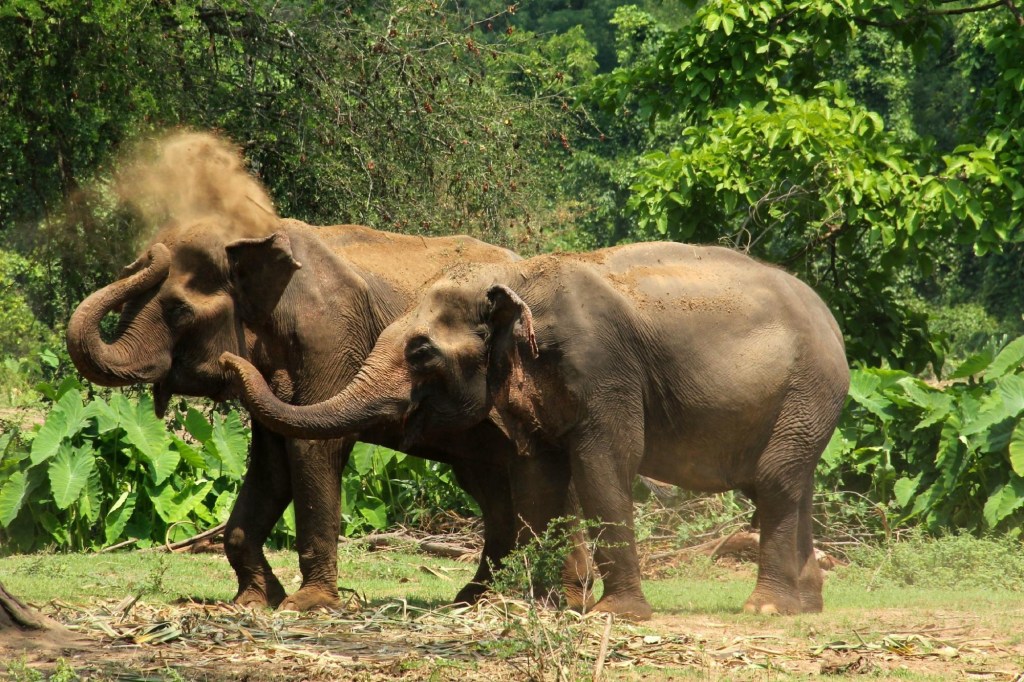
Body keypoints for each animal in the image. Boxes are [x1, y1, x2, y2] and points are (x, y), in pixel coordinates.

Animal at [67, 216, 594, 611]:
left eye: (177, 310)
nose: (145, 253)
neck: (255, 236)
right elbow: (271, 462)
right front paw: (254, 601)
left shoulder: (329, 335)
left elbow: (313, 449)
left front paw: (309, 605)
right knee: (490, 487)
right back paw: (475, 599)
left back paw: (561, 598)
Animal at [220, 241, 850, 619]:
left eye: (421, 352)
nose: (230, 359)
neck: (519, 278)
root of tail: (833, 324)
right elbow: (538, 478)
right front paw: (537, 606)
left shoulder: (603, 369)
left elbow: (604, 465)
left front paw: (613, 616)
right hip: (806, 403)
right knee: (790, 483)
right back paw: (807, 605)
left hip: (809, 389)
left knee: (774, 480)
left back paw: (766, 610)